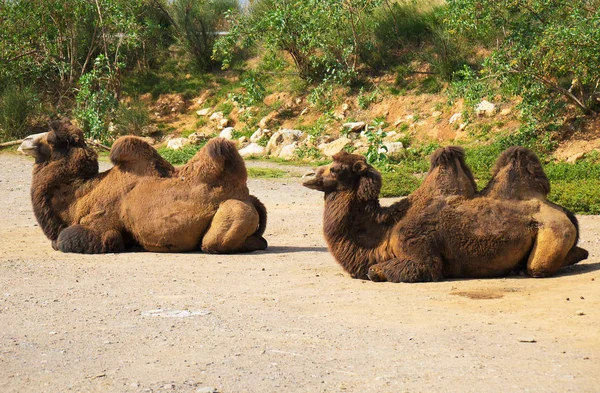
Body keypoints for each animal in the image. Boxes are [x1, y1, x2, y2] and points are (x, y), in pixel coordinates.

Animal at [18, 118, 268, 253]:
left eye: (52, 140)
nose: (25, 141)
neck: (81, 196)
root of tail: (249, 197)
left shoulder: (101, 225)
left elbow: (64, 239)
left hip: (234, 210)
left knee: (215, 242)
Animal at [302, 147, 588, 282]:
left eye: (336, 169)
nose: (307, 175)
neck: (386, 229)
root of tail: (567, 214)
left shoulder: (418, 251)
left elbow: (379, 271)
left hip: (553, 230)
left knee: (540, 265)